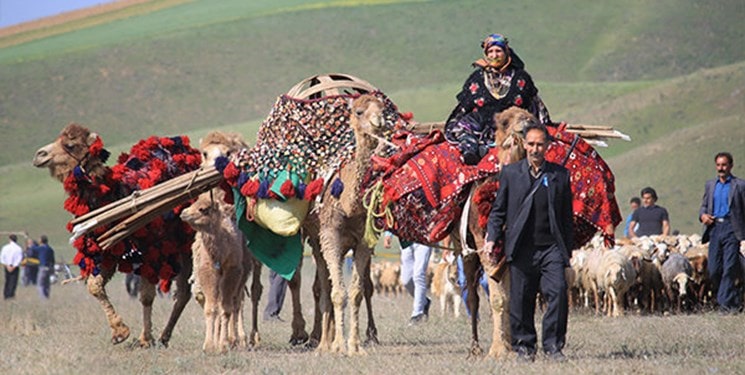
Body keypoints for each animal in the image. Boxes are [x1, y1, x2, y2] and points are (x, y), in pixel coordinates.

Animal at [32, 125, 195, 348]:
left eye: (70, 145)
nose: (39, 155)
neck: (114, 196)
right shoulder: (106, 251)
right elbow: (94, 286)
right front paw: (120, 332)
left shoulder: (150, 252)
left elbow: (146, 296)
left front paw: (144, 339)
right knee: (184, 292)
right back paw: (164, 337)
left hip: (186, 243)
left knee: (184, 291)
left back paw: (164, 336)